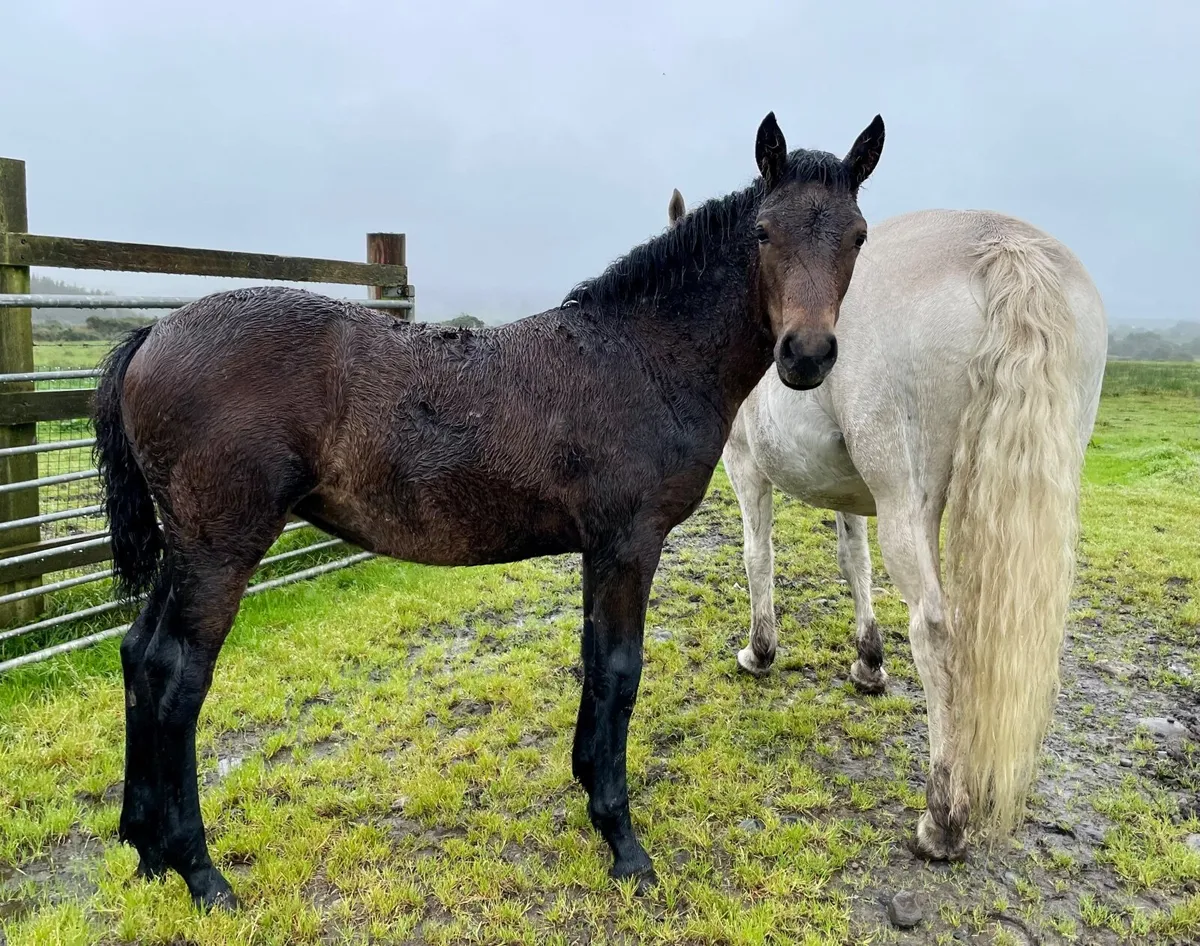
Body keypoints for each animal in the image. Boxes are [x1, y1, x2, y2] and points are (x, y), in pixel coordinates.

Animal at [92, 111, 886, 909]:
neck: (642, 356)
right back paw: (199, 871)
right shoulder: (630, 543)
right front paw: (624, 840)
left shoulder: (600, 548)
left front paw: (588, 784)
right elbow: (620, 669)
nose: (807, 355)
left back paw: (144, 846)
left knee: (138, 654)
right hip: (220, 548)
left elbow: (594, 659)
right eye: (763, 232)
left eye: (857, 236)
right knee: (179, 680)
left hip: (186, 549)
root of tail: (152, 335)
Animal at [668, 193, 1108, 859]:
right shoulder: (849, 491)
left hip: (907, 503)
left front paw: (760, 652)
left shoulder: (746, 468)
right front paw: (868, 662)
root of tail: (1002, 246)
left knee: (934, 631)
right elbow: (855, 563)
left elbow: (756, 555)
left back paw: (943, 820)